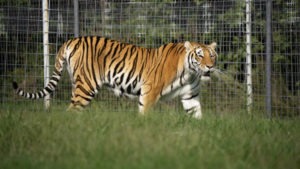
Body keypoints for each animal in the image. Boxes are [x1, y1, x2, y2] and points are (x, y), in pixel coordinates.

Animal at [12, 36, 218, 119]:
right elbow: (144, 113)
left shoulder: (190, 96)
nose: (210, 66)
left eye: (212, 55)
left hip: (76, 85)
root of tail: (71, 40)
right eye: (200, 55)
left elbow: (197, 115)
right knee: (72, 110)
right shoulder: (150, 91)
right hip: (86, 86)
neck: (190, 73)